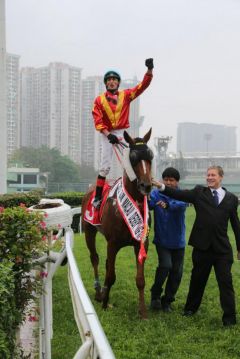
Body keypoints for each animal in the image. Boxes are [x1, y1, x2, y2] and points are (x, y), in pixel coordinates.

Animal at [81, 130, 153, 320]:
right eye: (133, 157)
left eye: (150, 155)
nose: (146, 185)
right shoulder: (113, 243)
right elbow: (111, 275)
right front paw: (105, 302)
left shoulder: (141, 242)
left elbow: (140, 280)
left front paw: (143, 311)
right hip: (89, 230)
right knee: (95, 258)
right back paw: (99, 292)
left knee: (105, 263)